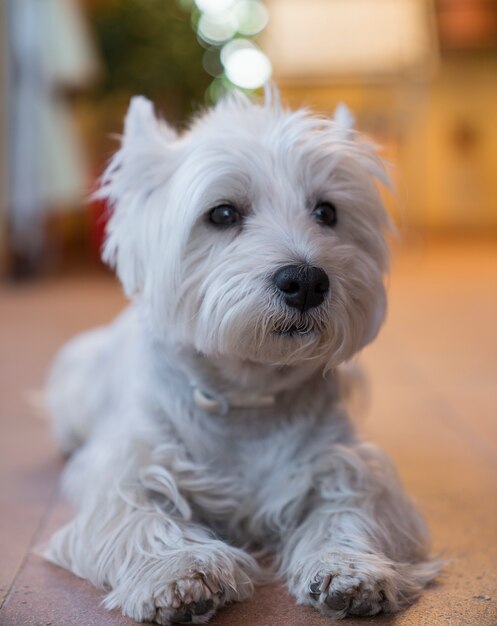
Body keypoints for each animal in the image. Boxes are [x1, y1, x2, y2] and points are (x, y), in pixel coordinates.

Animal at [43, 90, 438, 620]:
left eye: (327, 212)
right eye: (223, 214)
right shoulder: (127, 471)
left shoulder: (345, 464)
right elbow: (140, 518)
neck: (247, 395)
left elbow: (351, 507)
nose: (306, 282)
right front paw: (180, 574)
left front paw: (349, 570)